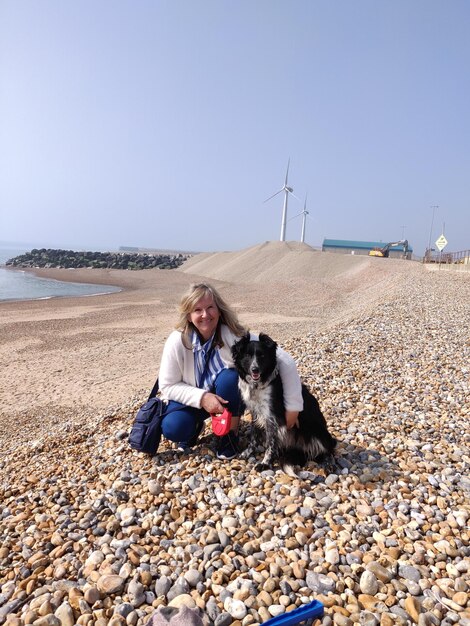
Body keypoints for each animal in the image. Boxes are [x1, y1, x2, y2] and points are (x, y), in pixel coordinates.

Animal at [230, 332, 334, 472]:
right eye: (247, 355)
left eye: (262, 355)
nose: (255, 369)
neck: (258, 385)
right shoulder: (255, 412)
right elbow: (254, 436)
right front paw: (247, 453)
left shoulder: (272, 417)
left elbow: (271, 443)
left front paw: (265, 463)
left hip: (316, 431)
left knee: (328, 449)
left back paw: (328, 463)